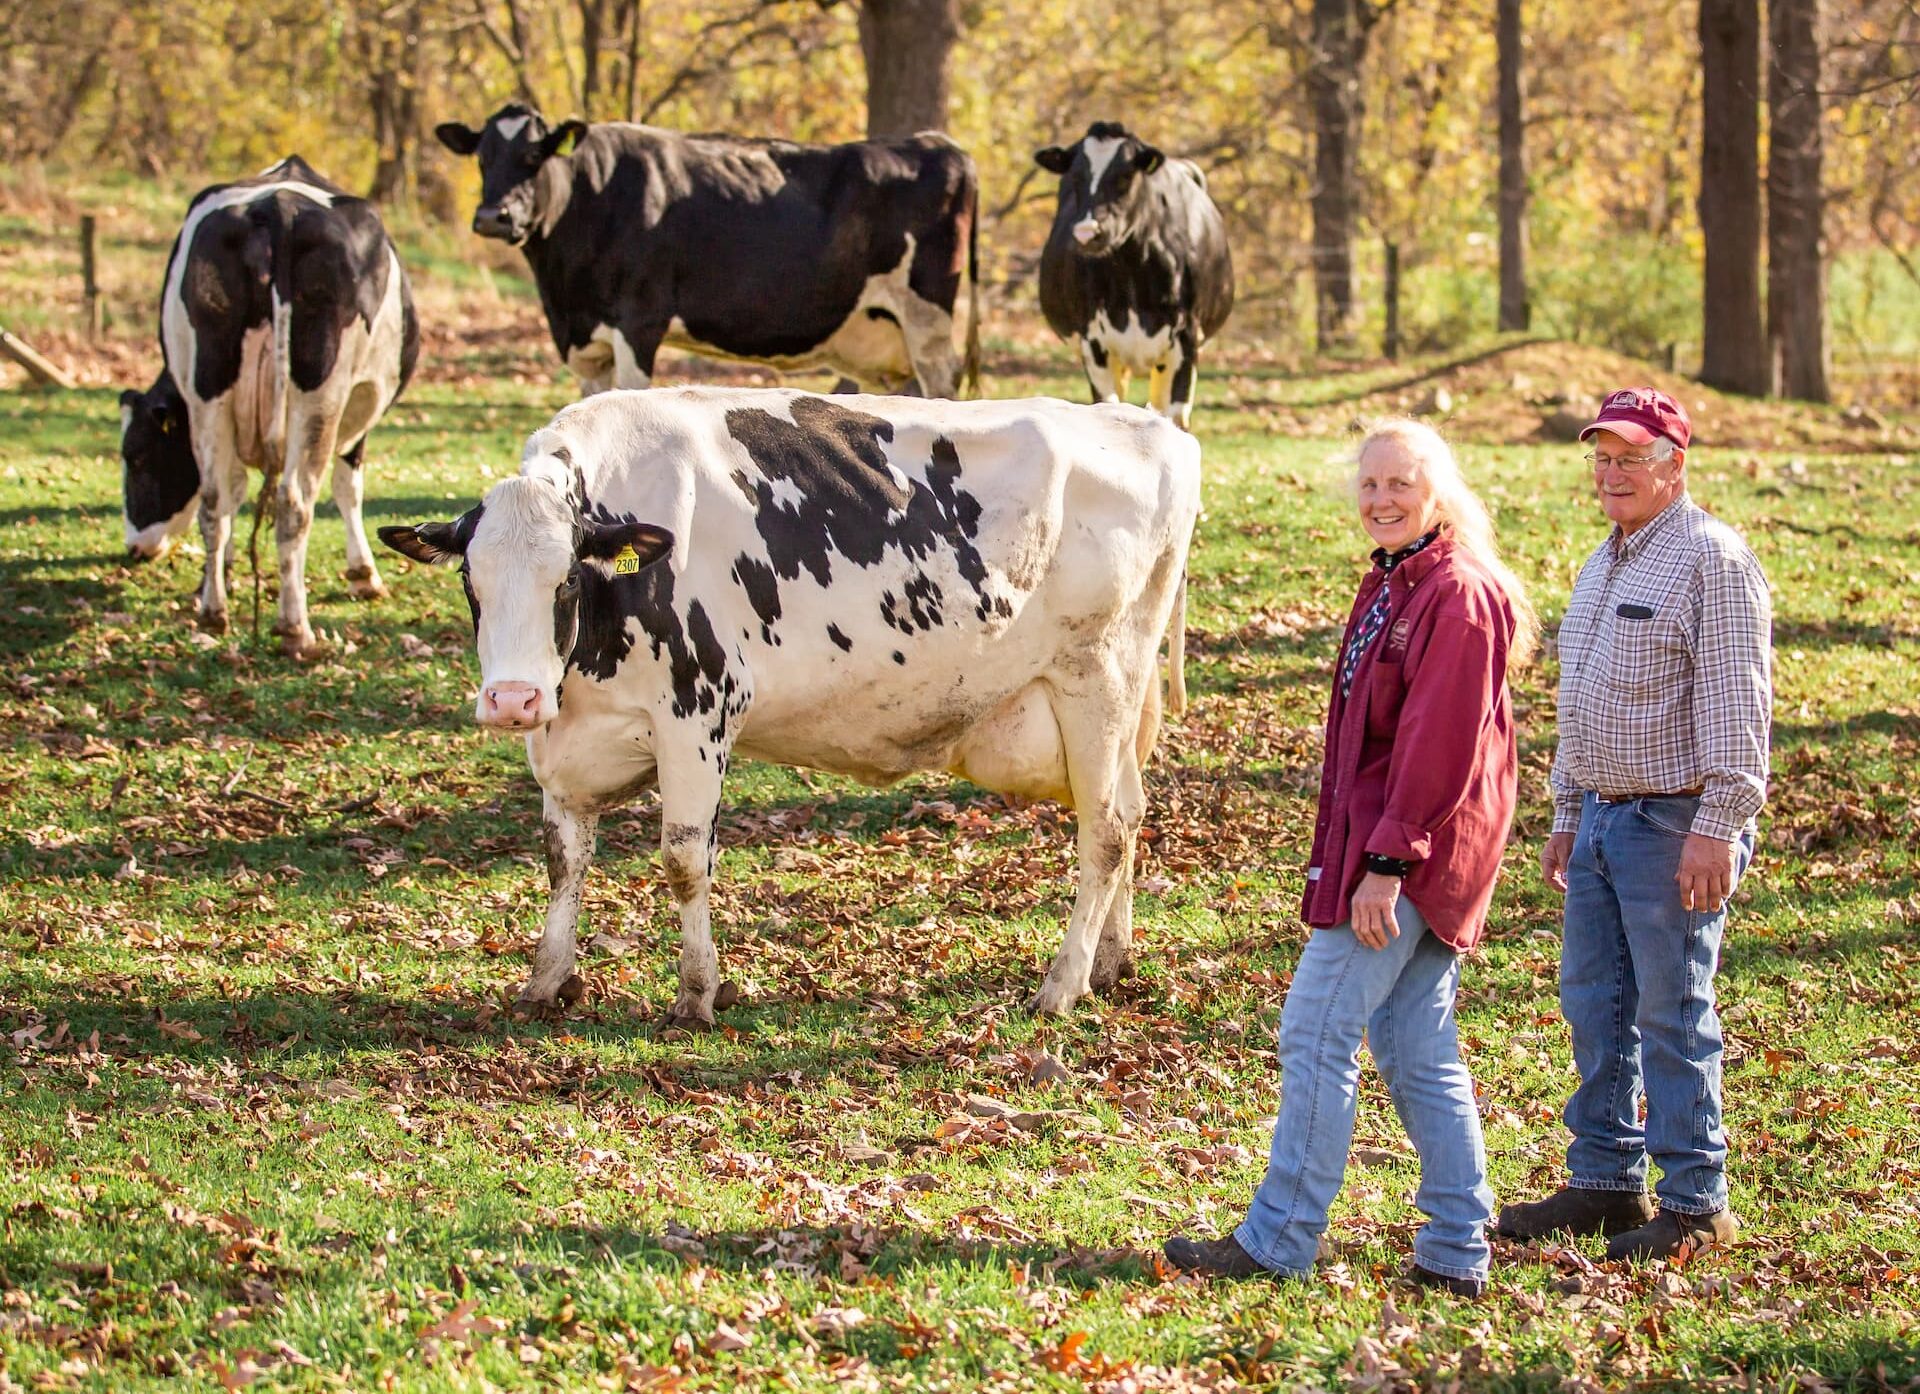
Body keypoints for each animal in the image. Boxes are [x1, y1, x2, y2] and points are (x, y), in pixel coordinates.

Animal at [121, 155, 422, 656]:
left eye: (138, 457)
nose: (133, 548)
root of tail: (276, 209)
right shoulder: (358, 409)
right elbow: (347, 487)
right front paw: (364, 575)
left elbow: (234, 492)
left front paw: (217, 577)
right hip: (321, 393)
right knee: (294, 502)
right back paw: (295, 628)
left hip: (210, 385)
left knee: (213, 500)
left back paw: (213, 612)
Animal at [378, 387, 1198, 1021]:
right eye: (470, 581)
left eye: (568, 580)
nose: (512, 700)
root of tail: (1151, 426)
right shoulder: (566, 746)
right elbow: (562, 860)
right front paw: (546, 980)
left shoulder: (699, 713)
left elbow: (683, 859)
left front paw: (697, 994)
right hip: (1111, 705)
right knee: (1129, 810)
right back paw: (1110, 963)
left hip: (1096, 677)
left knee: (1105, 830)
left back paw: (1062, 985)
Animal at [433, 103, 975, 395]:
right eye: (481, 158)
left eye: (533, 155)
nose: (493, 217)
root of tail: (936, 142)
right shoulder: (585, 343)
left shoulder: (639, 321)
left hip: (926, 318)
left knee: (942, 383)